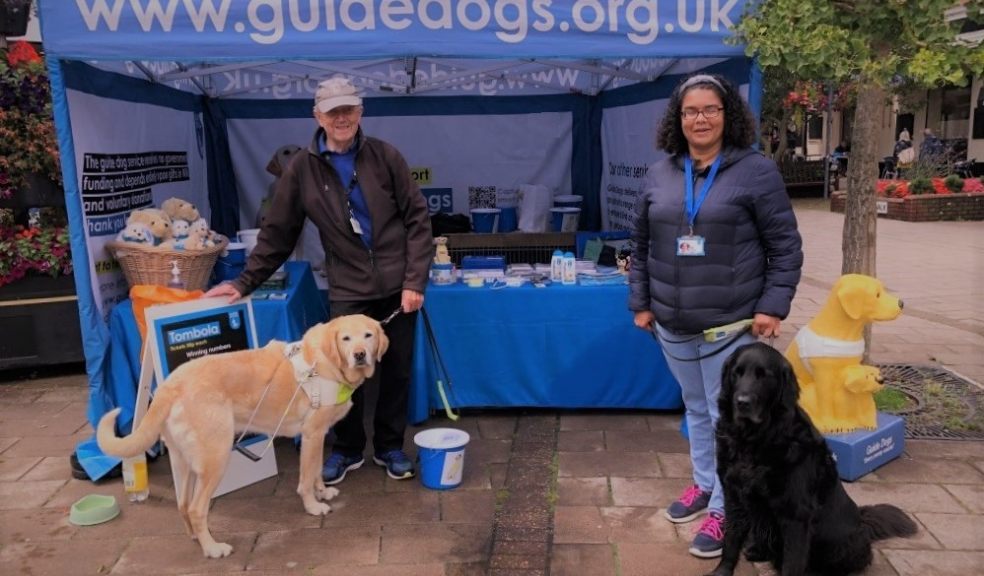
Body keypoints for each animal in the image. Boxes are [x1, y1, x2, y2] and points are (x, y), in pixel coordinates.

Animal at [96, 316, 386, 560]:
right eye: (346, 339)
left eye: (368, 335)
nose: (359, 355)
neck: (325, 361)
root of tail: (170, 384)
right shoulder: (312, 434)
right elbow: (305, 478)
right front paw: (313, 506)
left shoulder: (317, 436)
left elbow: (315, 471)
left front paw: (323, 492)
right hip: (216, 460)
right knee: (196, 508)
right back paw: (212, 548)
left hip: (184, 463)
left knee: (183, 504)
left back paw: (196, 538)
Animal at [704, 342, 920, 576]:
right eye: (736, 373)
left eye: (764, 376)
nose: (742, 402)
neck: (755, 440)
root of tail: (862, 520)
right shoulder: (733, 496)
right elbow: (730, 542)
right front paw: (722, 571)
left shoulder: (796, 514)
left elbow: (792, 563)